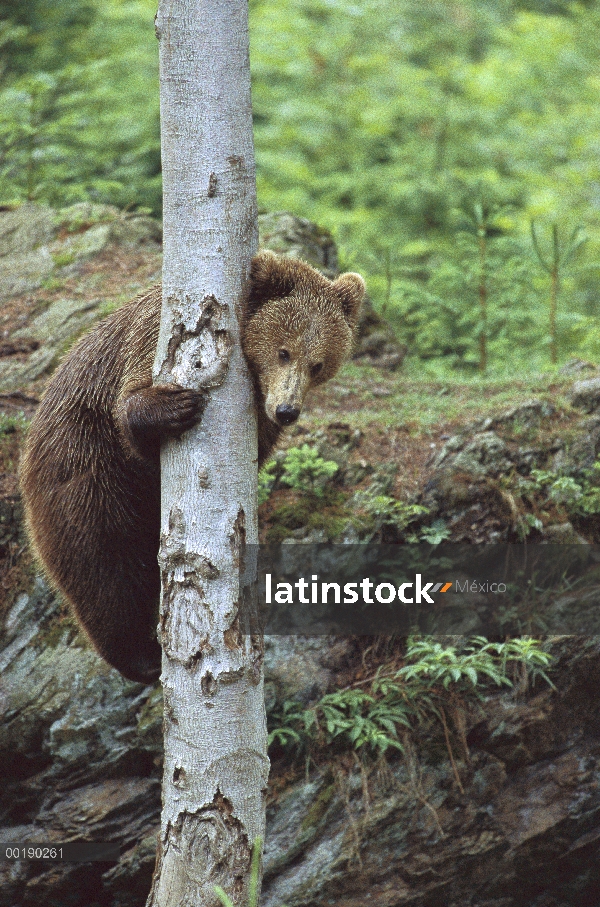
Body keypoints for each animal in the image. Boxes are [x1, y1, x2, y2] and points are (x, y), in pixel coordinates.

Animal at [19, 252, 366, 684]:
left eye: (318, 364)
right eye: (284, 351)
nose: (287, 409)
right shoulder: (154, 344)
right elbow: (134, 412)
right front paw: (176, 406)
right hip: (84, 468)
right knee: (101, 563)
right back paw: (140, 657)